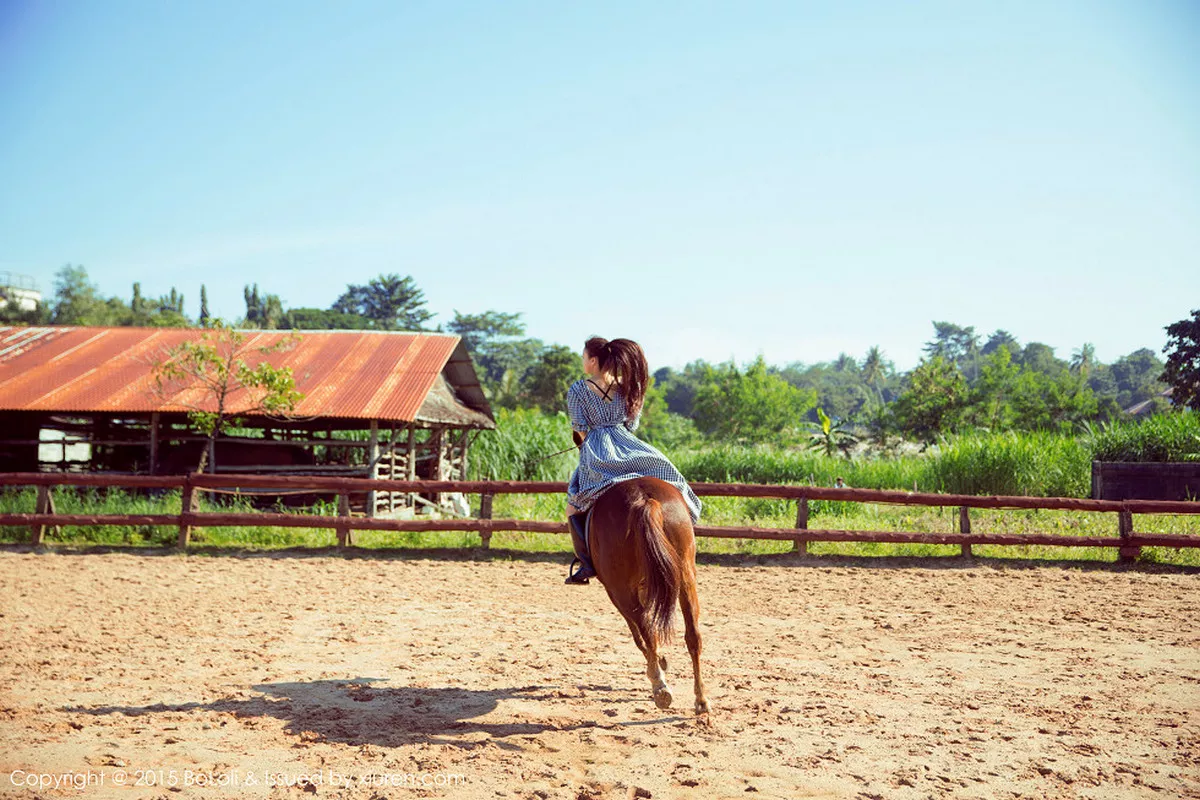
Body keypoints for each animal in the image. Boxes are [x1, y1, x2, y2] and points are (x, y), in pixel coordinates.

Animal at [585, 479, 705, 714]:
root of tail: (644, 500)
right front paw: (661, 659)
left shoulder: (614, 592)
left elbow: (638, 635)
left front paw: (659, 661)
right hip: (686, 577)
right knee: (692, 636)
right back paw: (701, 700)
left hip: (621, 590)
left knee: (647, 631)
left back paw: (659, 686)